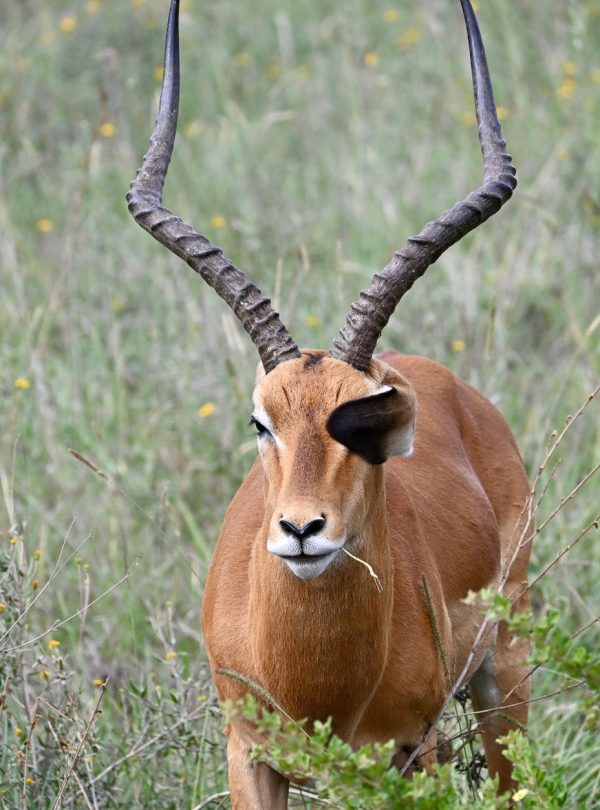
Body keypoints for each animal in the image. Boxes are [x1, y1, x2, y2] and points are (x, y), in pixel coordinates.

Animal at [128, 0, 532, 805]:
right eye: (261, 422)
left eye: (369, 424)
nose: (302, 530)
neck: (314, 683)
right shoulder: (249, 755)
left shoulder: (406, 754)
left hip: (505, 676)